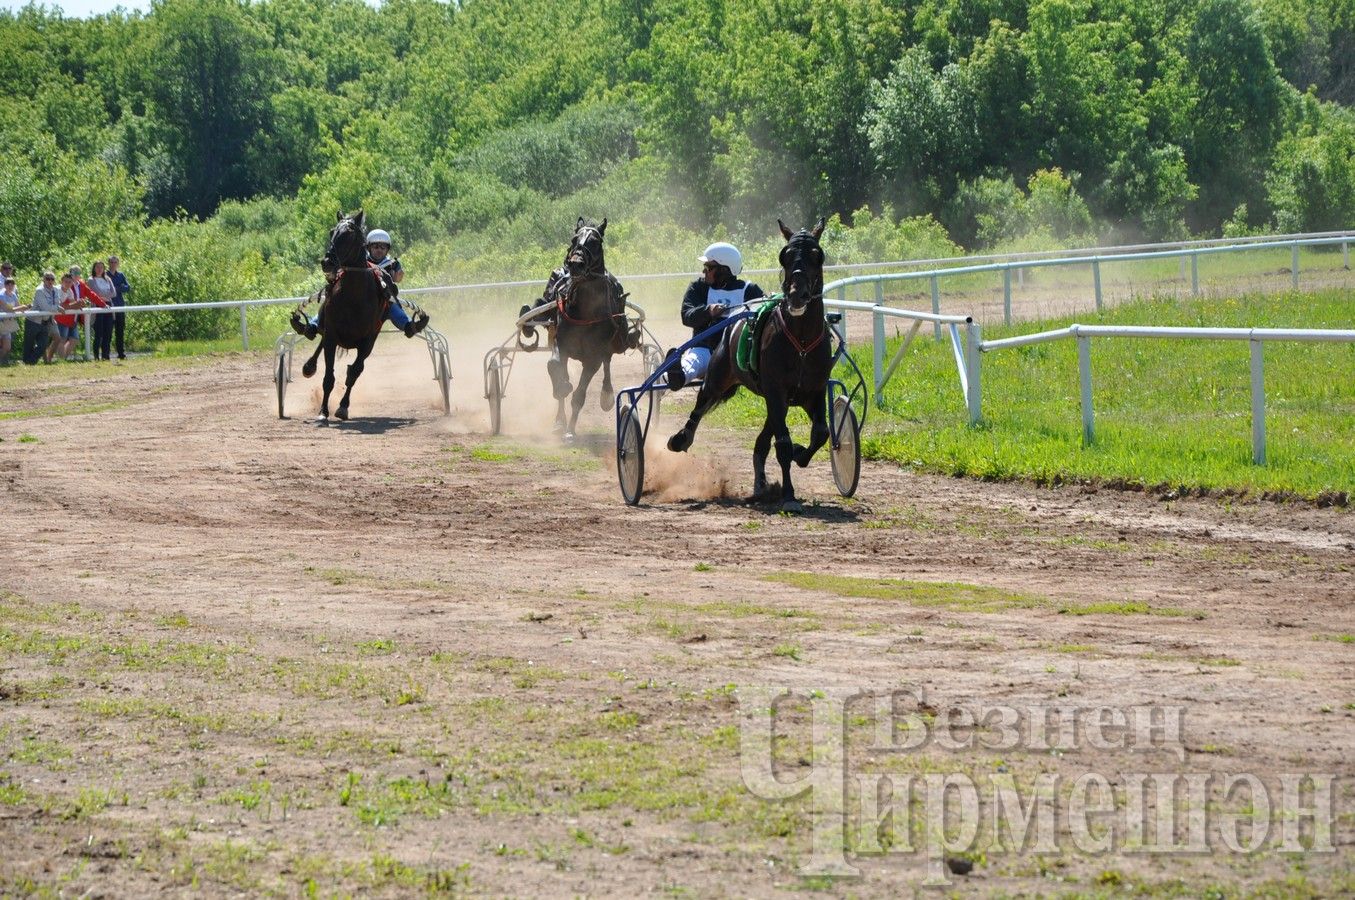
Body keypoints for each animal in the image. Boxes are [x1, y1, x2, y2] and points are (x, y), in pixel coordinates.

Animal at [539, 218, 634, 441]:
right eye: (574, 239)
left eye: (595, 241)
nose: (575, 264)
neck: (585, 311)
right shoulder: (561, 344)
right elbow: (555, 368)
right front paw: (560, 419)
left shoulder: (593, 358)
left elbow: (579, 395)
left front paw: (570, 430)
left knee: (607, 363)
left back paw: (607, 394)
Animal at [669, 218, 834, 509]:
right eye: (785, 256)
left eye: (818, 255)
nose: (797, 296)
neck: (801, 343)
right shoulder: (777, 391)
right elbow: (783, 443)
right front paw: (789, 494)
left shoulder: (814, 391)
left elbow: (820, 434)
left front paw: (800, 454)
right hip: (719, 377)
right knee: (701, 403)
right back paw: (682, 434)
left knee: (762, 442)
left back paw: (761, 485)